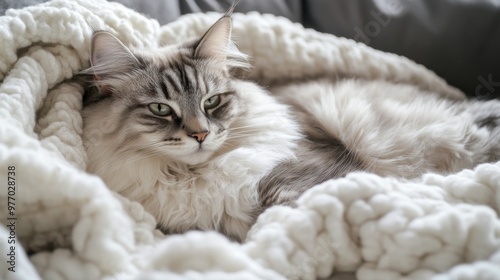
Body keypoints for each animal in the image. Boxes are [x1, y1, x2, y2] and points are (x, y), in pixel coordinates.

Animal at [82, 13, 500, 241]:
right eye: (160, 109)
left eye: (212, 102)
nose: (200, 134)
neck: (190, 176)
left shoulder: (305, 172)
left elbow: (280, 213)